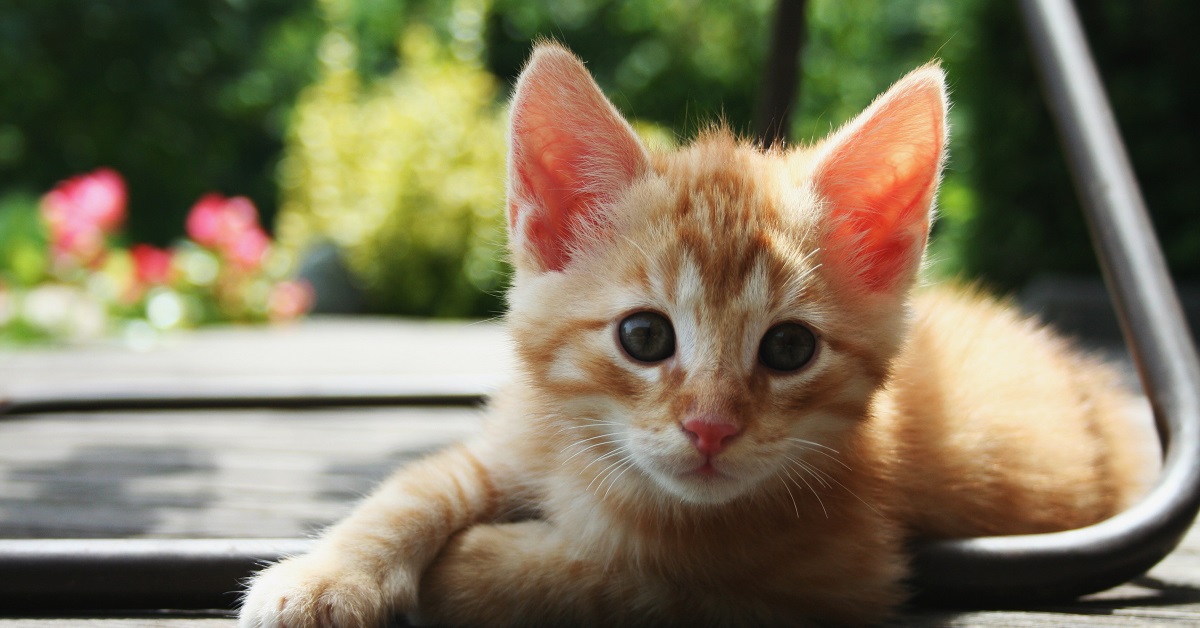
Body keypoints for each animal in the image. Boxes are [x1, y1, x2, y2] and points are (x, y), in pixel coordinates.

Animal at [238, 44, 1147, 628]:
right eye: (644, 336)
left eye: (789, 350)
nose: (710, 428)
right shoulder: (521, 433)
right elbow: (419, 484)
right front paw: (327, 574)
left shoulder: (828, 577)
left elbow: (618, 574)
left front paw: (472, 567)